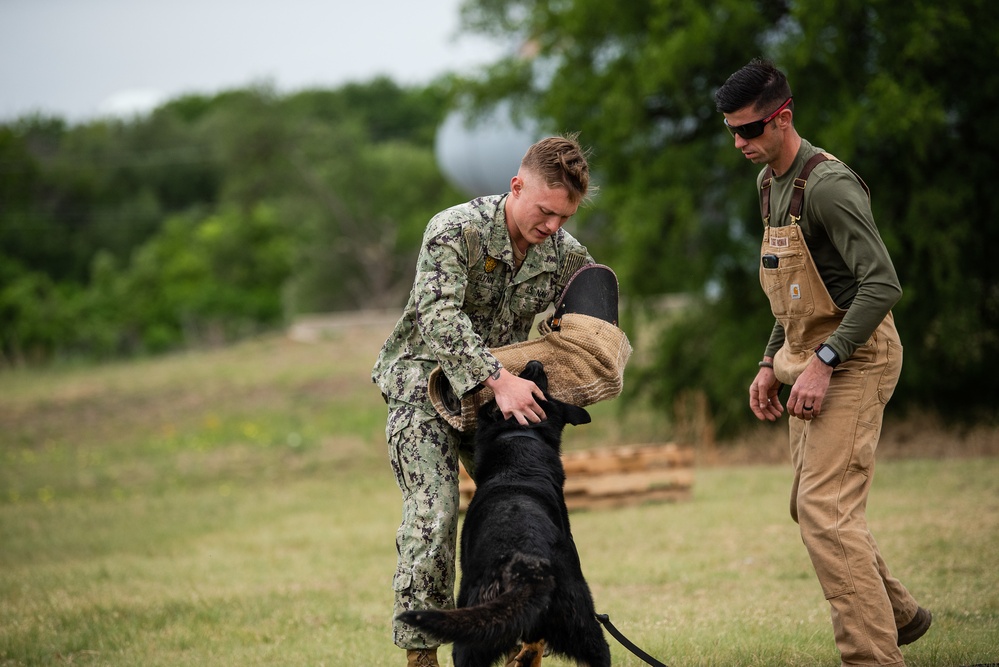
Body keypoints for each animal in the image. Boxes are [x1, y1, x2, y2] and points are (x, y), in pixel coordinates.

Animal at [398, 362, 608, 664]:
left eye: (532, 380)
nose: (535, 363)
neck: (520, 438)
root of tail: (529, 570)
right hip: (586, 630)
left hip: (471, 635)